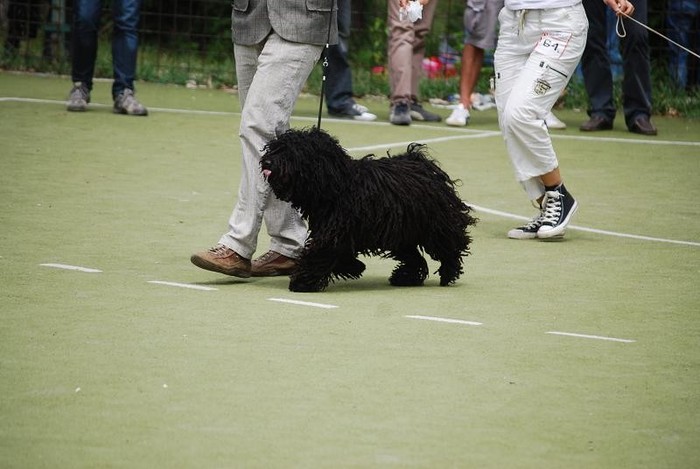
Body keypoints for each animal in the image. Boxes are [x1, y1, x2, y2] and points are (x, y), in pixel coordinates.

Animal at [260, 126, 478, 290]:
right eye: (274, 148)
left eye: (291, 152)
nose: (267, 161)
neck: (337, 185)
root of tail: (422, 164)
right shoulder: (338, 232)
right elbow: (338, 253)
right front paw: (355, 266)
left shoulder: (334, 232)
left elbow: (319, 253)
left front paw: (302, 282)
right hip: (402, 232)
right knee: (414, 258)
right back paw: (406, 277)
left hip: (435, 225)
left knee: (449, 246)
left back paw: (448, 272)